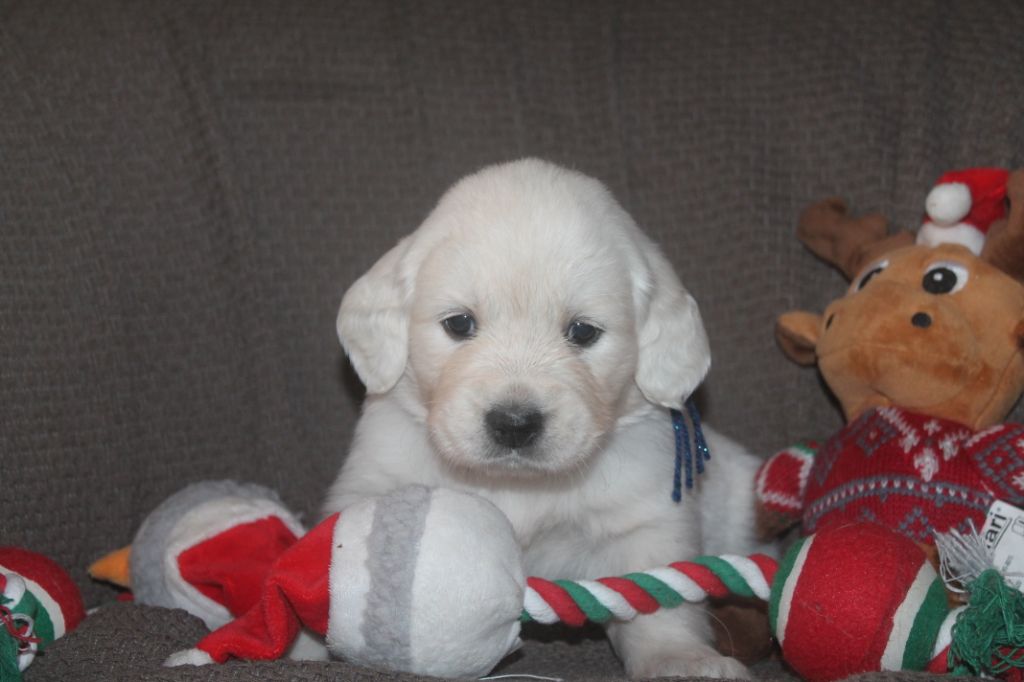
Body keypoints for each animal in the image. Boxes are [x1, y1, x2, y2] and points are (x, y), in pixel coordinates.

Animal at [325, 157, 770, 675]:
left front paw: (681, 660)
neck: (520, 486)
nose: (515, 424)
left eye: (583, 332)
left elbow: (658, 602)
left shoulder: (645, 520)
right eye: (459, 323)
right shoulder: (371, 480)